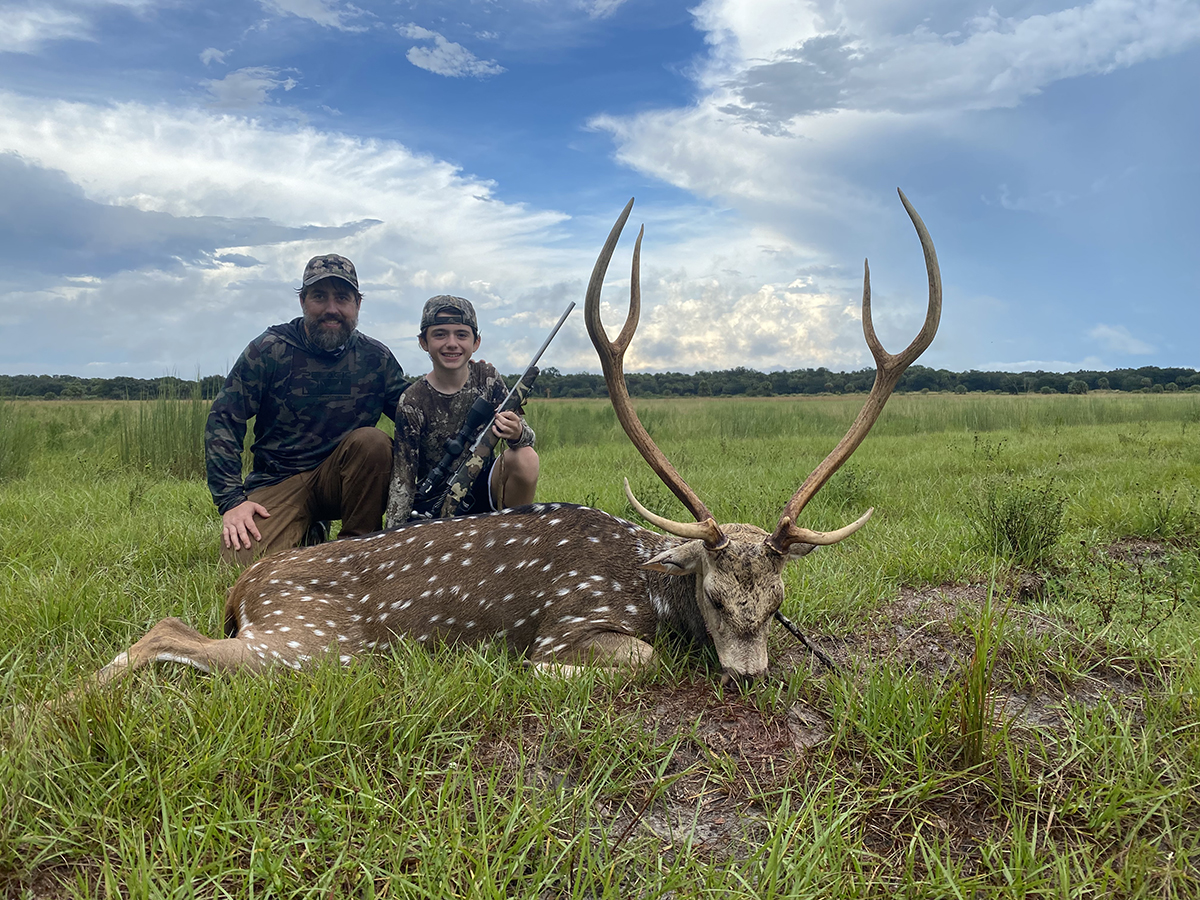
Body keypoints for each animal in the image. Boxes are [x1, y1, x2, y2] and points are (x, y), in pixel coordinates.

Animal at [80, 189, 940, 695]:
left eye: (779, 600)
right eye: (717, 595)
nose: (748, 676)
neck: (649, 587)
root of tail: (247, 586)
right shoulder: (569, 622)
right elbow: (634, 658)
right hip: (311, 643)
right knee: (166, 630)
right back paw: (62, 709)